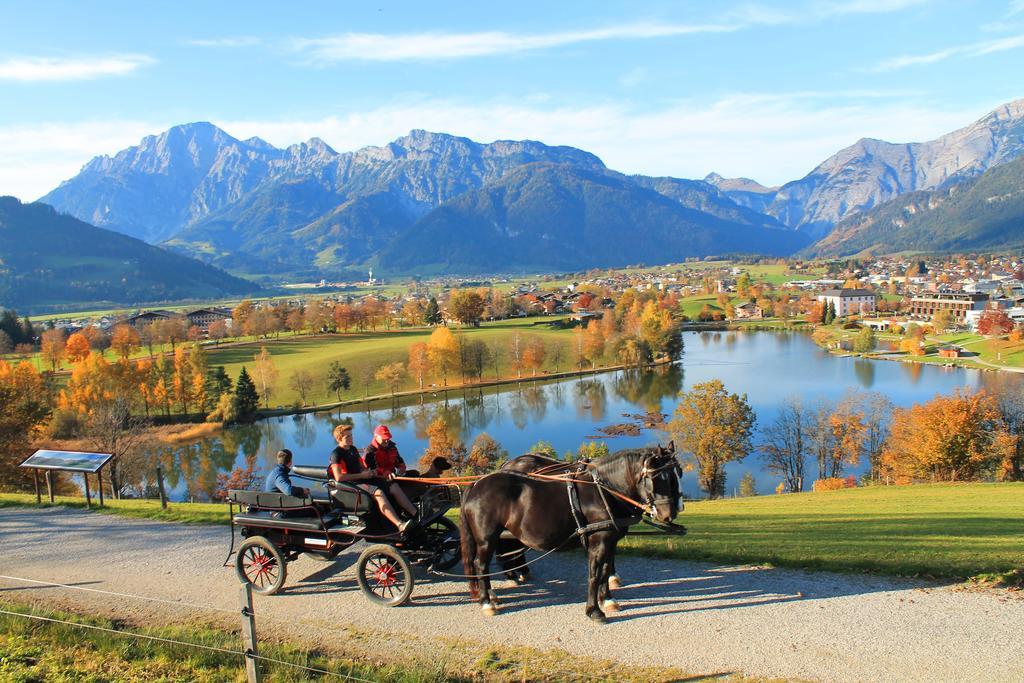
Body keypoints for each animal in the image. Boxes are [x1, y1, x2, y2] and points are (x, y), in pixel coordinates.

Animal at [458, 444, 679, 626]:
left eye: (677, 475)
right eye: (655, 478)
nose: (669, 514)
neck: (605, 491)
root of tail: (476, 484)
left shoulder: (610, 541)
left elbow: (606, 570)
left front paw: (607, 599)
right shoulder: (599, 541)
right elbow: (594, 574)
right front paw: (594, 611)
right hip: (486, 539)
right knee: (480, 565)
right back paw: (488, 601)